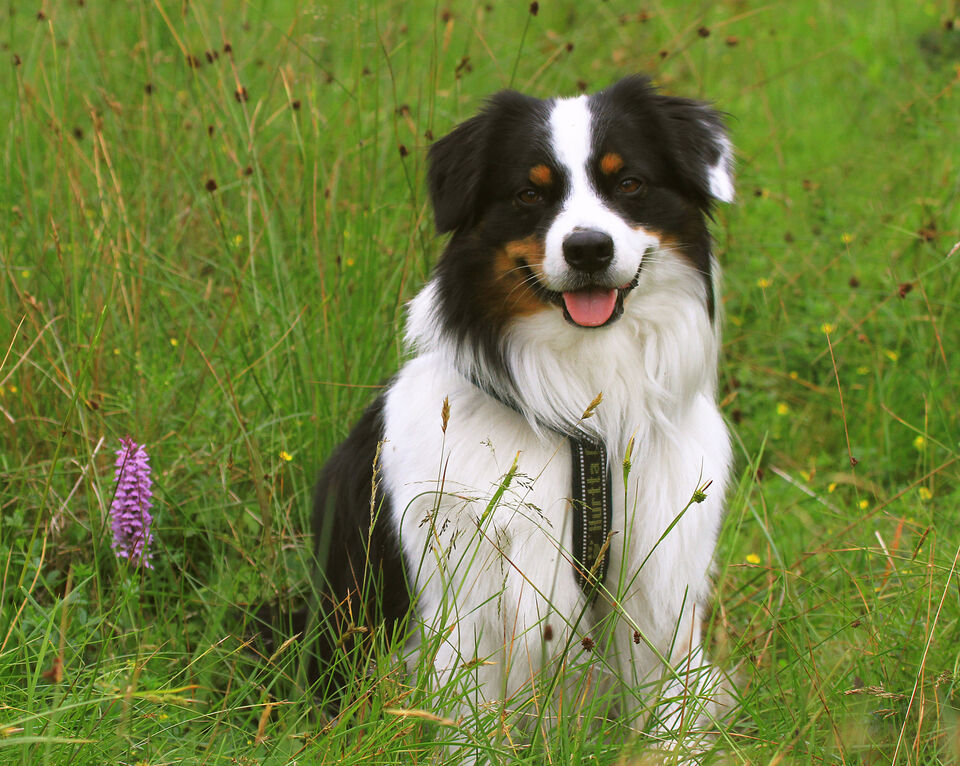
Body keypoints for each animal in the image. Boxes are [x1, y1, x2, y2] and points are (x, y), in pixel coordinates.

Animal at [311, 74, 735, 743]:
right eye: (529, 193)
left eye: (630, 183)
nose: (588, 249)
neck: (586, 425)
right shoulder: (466, 601)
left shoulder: (661, 590)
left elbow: (672, 719)